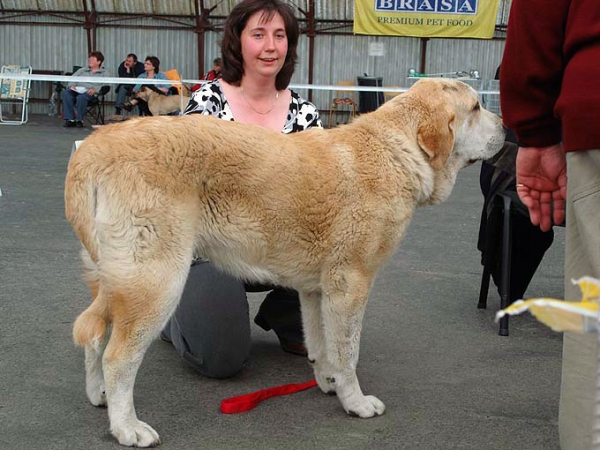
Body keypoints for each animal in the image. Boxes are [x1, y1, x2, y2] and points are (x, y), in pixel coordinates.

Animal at [65, 78, 504, 446]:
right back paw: (127, 427)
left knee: (93, 334)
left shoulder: (317, 290)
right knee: (118, 356)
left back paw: (98, 395)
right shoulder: (351, 283)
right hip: (156, 281)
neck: (397, 151)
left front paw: (328, 382)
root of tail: (96, 145)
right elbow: (349, 351)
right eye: (477, 107)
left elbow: (322, 343)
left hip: (119, 279)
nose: (506, 128)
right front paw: (355, 402)